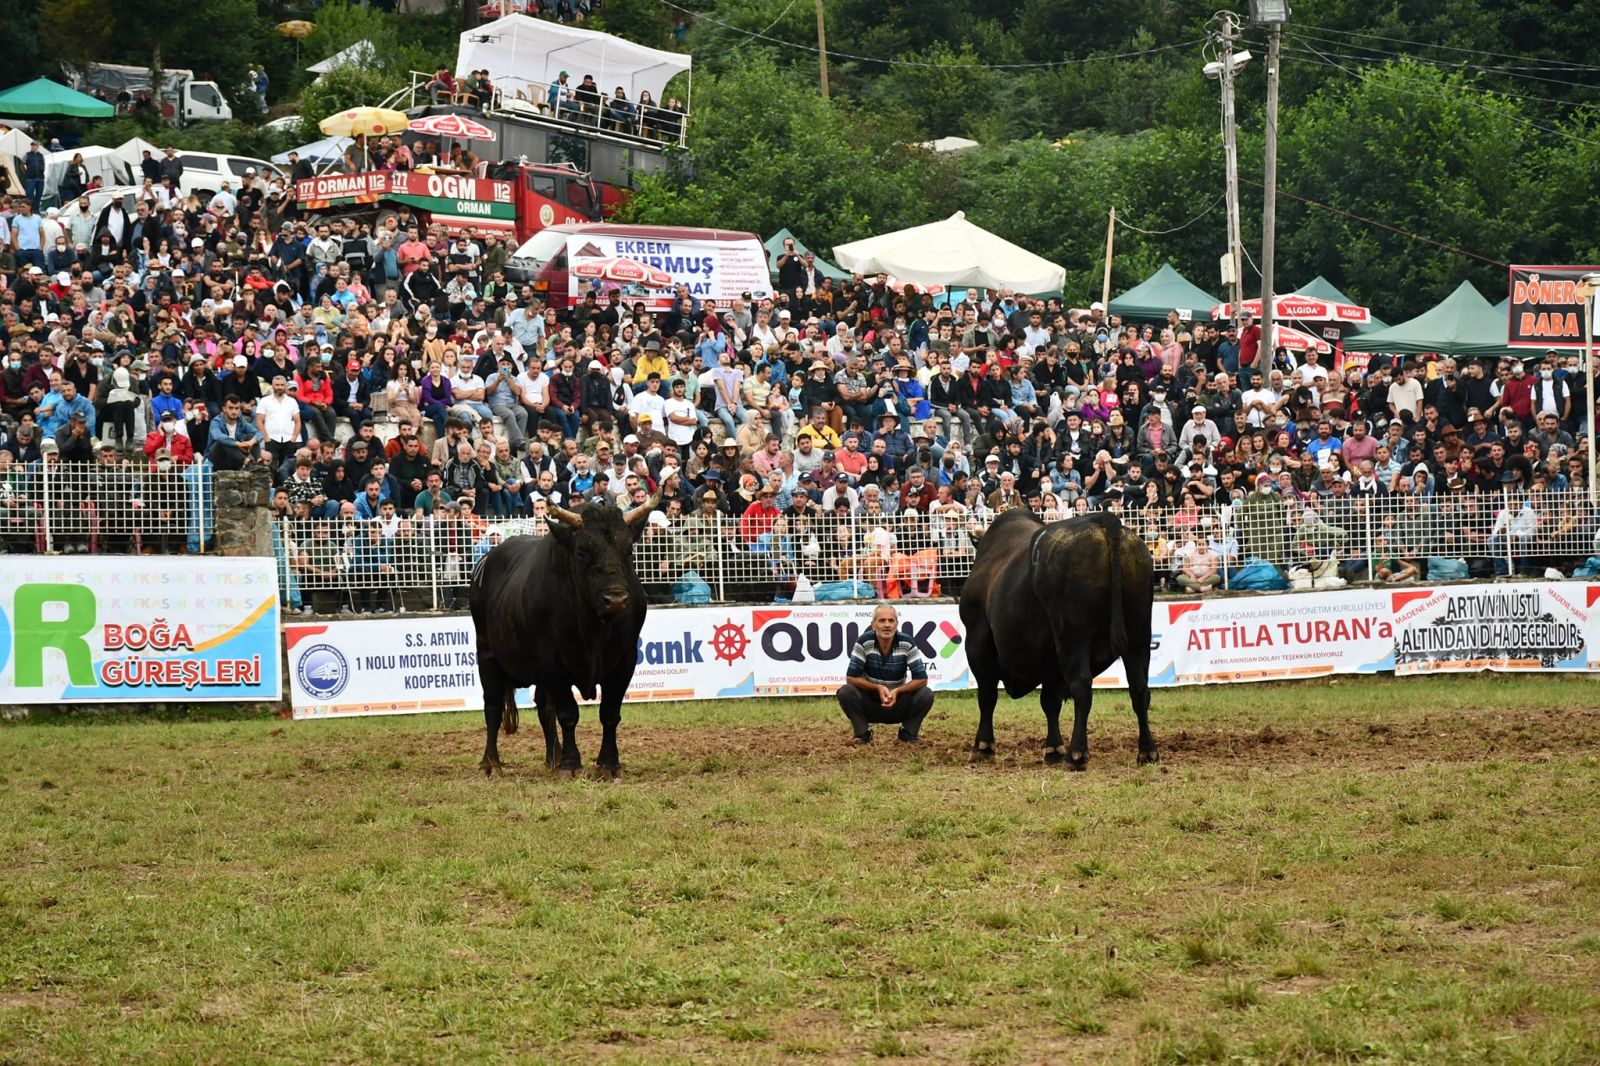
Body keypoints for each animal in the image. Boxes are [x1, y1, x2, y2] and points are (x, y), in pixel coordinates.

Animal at [468, 496, 654, 778]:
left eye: (629, 551)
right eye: (582, 552)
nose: (616, 599)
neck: (593, 627)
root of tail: (485, 563)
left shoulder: (625, 660)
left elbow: (610, 713)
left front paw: (609, 764)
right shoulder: (553, 663)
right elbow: (567, 714)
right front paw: (571, 764)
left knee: (544, 709)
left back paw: (552, 757)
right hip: (487, 654)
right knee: (493, 707)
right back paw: (491, 763)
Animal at [959, 508, 1157, 768]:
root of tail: (1104, 520)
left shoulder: (977, 642)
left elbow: (987, 696)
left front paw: (983, 746)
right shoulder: (1051, 658)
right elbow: (1050, 701)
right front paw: (1053, 748)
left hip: (1073, 637)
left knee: (1082, 688)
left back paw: (1076, 754)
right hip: (1138, 634)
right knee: (1139, 688)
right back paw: (1147, 751)